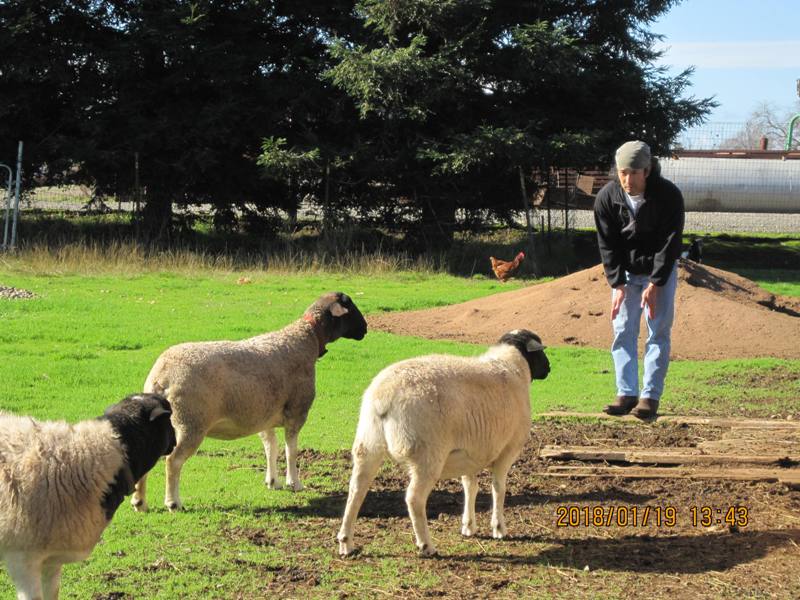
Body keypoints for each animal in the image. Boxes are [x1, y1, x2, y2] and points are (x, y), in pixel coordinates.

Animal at [135, 290, 368, 510]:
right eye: (350, 305)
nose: (365, 328)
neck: (307, 337)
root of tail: (161, 377)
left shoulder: (264, 414)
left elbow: (271, 447)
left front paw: (273, 482)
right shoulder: (297, 411)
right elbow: (290, 451)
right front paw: (295, 483)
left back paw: (140, 503)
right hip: (190, 422)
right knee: (173, 461)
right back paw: (173, 503)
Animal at [334, 330, 548, 556]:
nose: (549, 368)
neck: (513, 366)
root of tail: (384, 397)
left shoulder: (470, 453)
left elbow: (470, 487)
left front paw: (468, 526)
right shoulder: (508, 449)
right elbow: (498, 488)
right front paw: (499, 528)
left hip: (368, 444)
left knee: (356, 489)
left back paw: (346, 542)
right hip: (426, 455)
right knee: (414, 498)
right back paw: (426, 545)